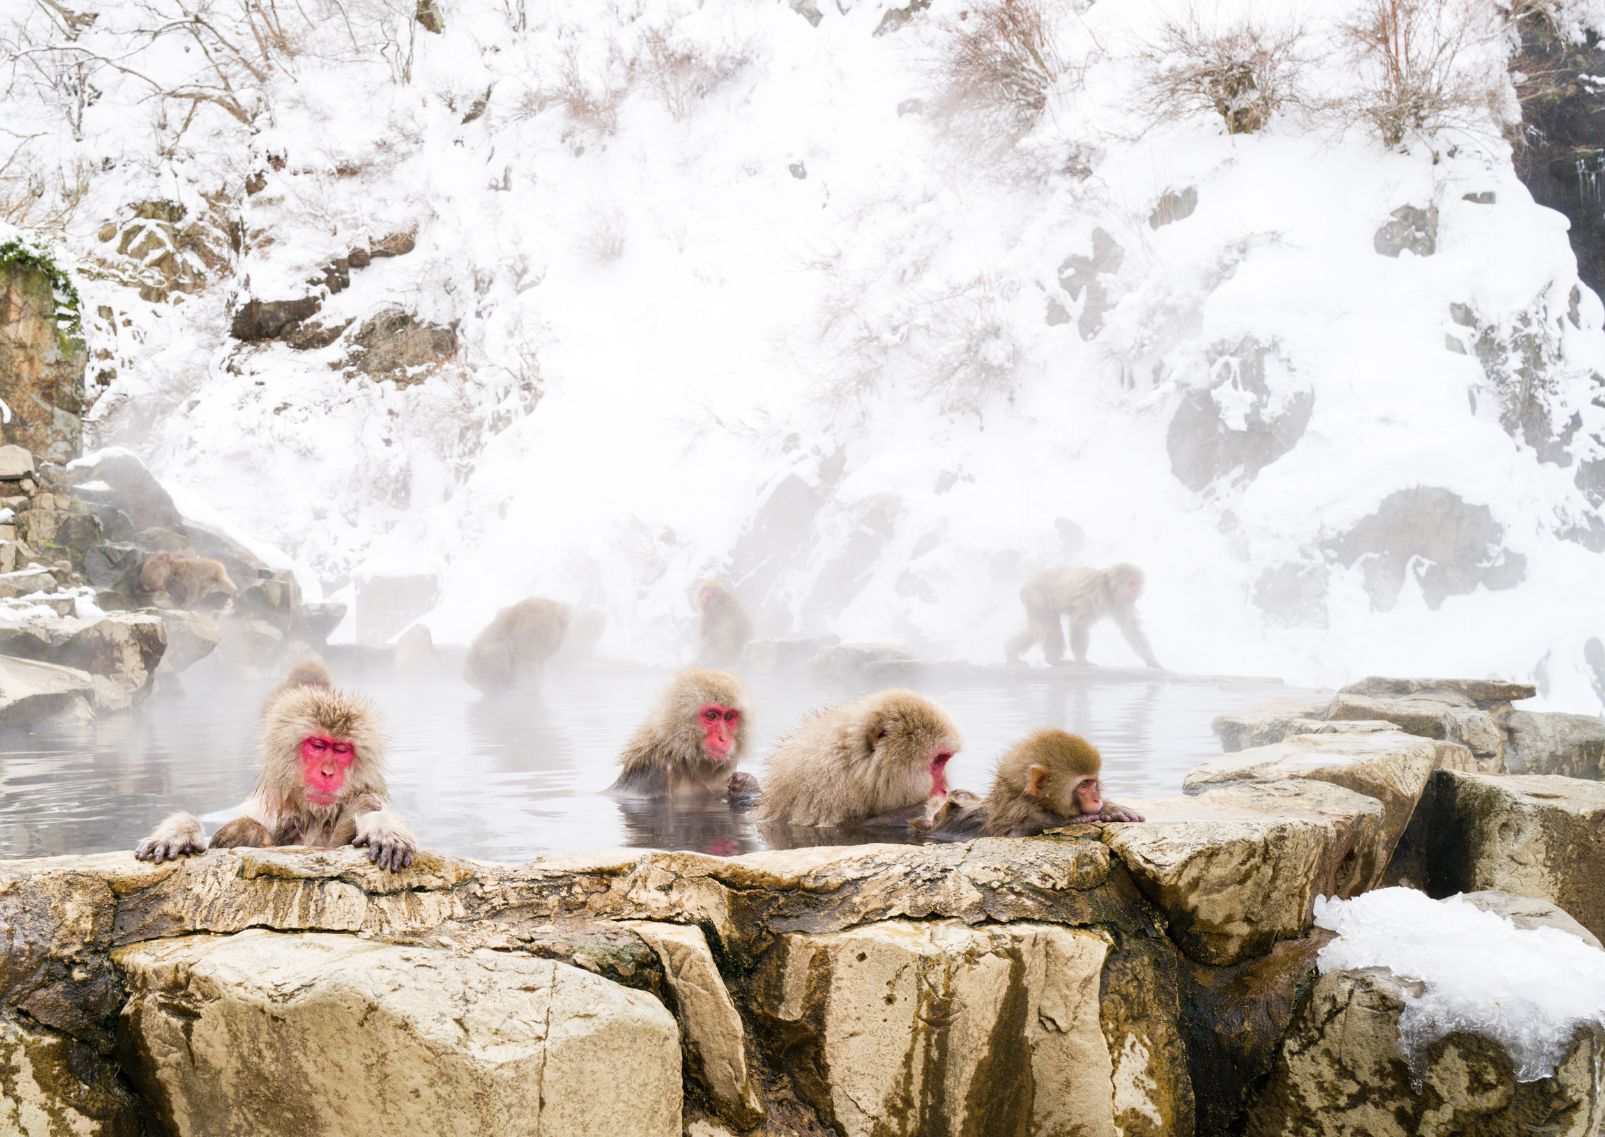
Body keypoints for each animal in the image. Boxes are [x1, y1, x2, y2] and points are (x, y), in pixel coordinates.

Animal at [132, 684, 417, 873]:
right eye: (318, 745)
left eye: (340, 750)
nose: (327, 772)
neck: (313, 818)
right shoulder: (261, 809)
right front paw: (179, 833)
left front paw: (384, 828)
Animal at [918, 732, 1142, 841]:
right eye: (1085, 784)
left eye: (1094, 782)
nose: (1097, 799)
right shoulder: (1011, 812)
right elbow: (1013, 831)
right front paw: (1061, 819)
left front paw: (1111, 809)